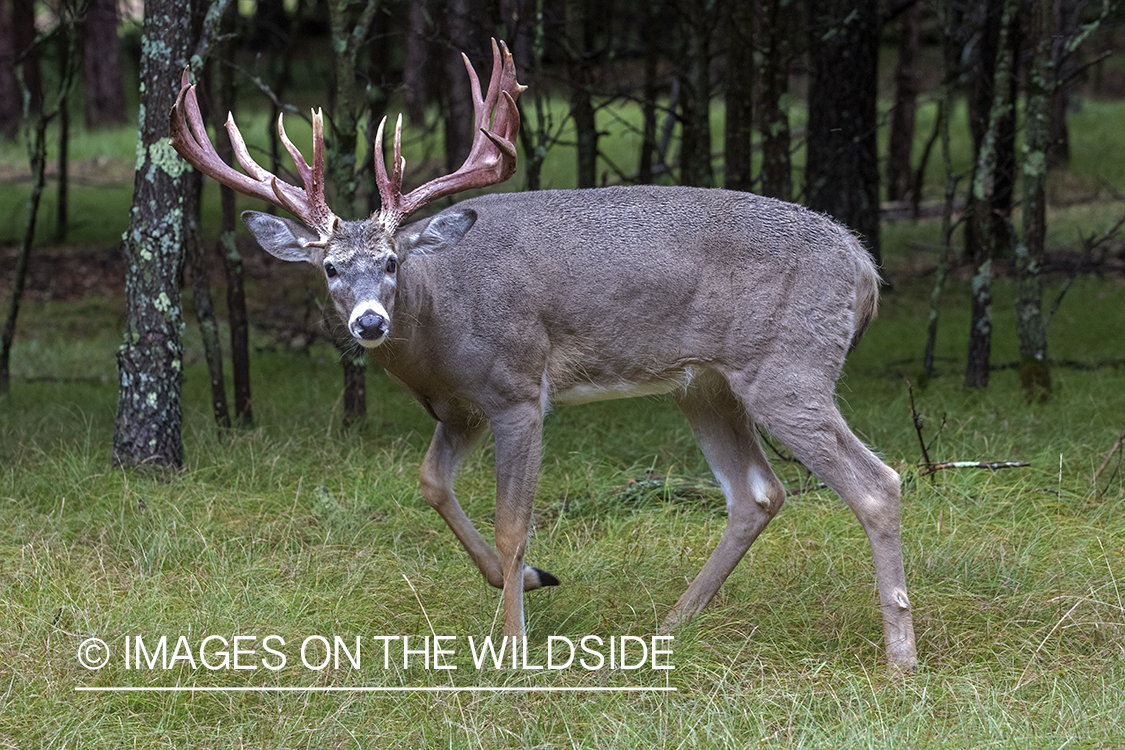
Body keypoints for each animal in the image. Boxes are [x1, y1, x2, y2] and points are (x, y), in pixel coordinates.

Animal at [171, 39, 918, 670]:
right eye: (329, 268)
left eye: (390, 261)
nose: (370, 322)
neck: (442, 318)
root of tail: (863, 267)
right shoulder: (461, 407)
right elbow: (430, 482)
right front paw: (528, 582)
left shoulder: (517, 388)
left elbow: (512, 523)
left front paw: (511, 645)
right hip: (706, 385)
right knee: (756, 493)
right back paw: (672, 625)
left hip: (790, 367)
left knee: (877, 483)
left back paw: (899, 656)